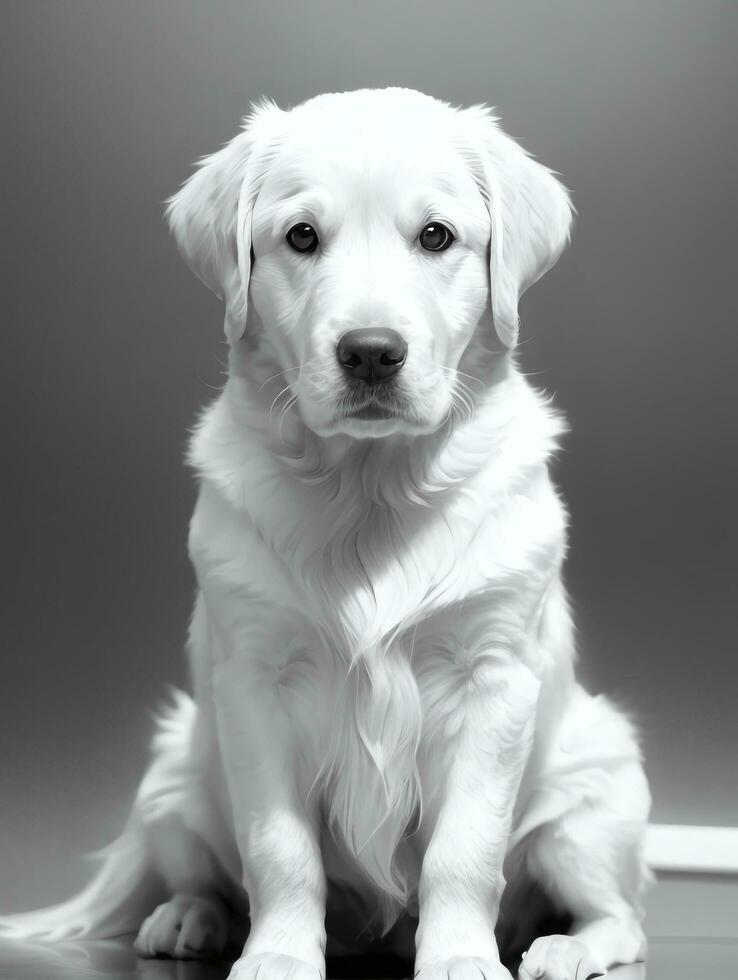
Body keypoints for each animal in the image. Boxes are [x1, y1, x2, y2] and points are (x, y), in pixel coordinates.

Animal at [4, 88, 648, 976]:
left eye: (437, 236)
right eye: (302, 237)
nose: (371, 353)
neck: (369, 489)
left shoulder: (493, 678)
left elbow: (466, 848)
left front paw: (460, 956)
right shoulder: (254, 682)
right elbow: (279, 848)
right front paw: (277, 955)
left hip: (593, 794)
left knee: (620, 913)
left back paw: (565, 947)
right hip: (176, 778)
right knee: (203, 872)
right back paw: (189, 918)